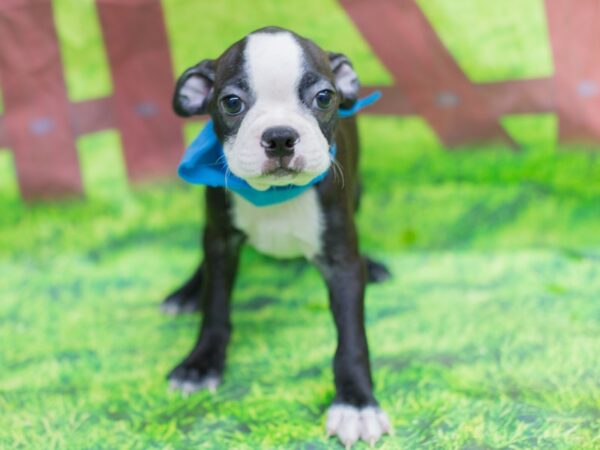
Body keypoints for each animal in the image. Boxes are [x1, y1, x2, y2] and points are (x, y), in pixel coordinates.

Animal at [162, 27, 392, 446]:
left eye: (324, 97)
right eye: (231, 103)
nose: (281, 137)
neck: (275, 194)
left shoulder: (341, 261)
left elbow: (352, 337)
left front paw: (356, 404)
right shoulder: (221, 241)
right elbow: (215, 306)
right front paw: (200, 365)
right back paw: (186, 292)